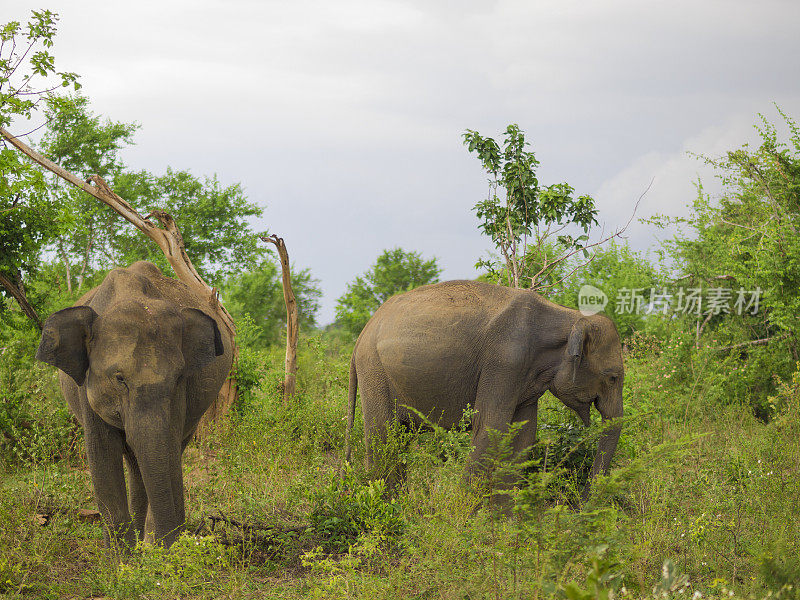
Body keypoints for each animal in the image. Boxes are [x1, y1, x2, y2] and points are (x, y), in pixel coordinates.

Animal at [37, 260, 231, 548]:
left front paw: (161, 551)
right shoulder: (87, 385)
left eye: (178, 377)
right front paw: (121, 558)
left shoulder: (179, 395)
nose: (170, 544)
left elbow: (167, 447)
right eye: (119, 379)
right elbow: (102, 452)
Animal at [344, 280, 624, 496]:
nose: (580, 503)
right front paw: (459, 520)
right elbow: (491, 428)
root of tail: (360, 338)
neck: (568, 317)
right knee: (383, 436)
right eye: (612, 377)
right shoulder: (504, 362)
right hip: (374, 372)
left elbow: (522, 437)